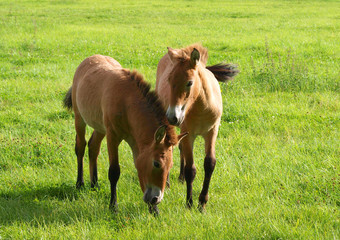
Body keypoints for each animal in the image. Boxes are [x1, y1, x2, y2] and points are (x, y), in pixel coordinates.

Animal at [62, 54, 187, 214]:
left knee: (93, 147)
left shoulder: (137, 144)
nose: (156, 199)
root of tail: (89, 59)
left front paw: (154, 210)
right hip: (79, 119)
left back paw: (94, 184)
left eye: (170, 166)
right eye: (156, 163)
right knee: (81, 147)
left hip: (100, 127)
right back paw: (80, 183)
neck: (127, 102)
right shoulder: (113, 136)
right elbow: (114, 172)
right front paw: (113, 206)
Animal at [155, 43, 238, 210]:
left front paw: (202, 203)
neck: (202, 108)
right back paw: (167, 182)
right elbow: (190, 169)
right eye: (169, 80)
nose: (173, 116)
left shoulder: (212, 132)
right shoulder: (189, 134)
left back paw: (180, 178)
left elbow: (209, 163)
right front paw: (189, 203)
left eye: (189, 82)